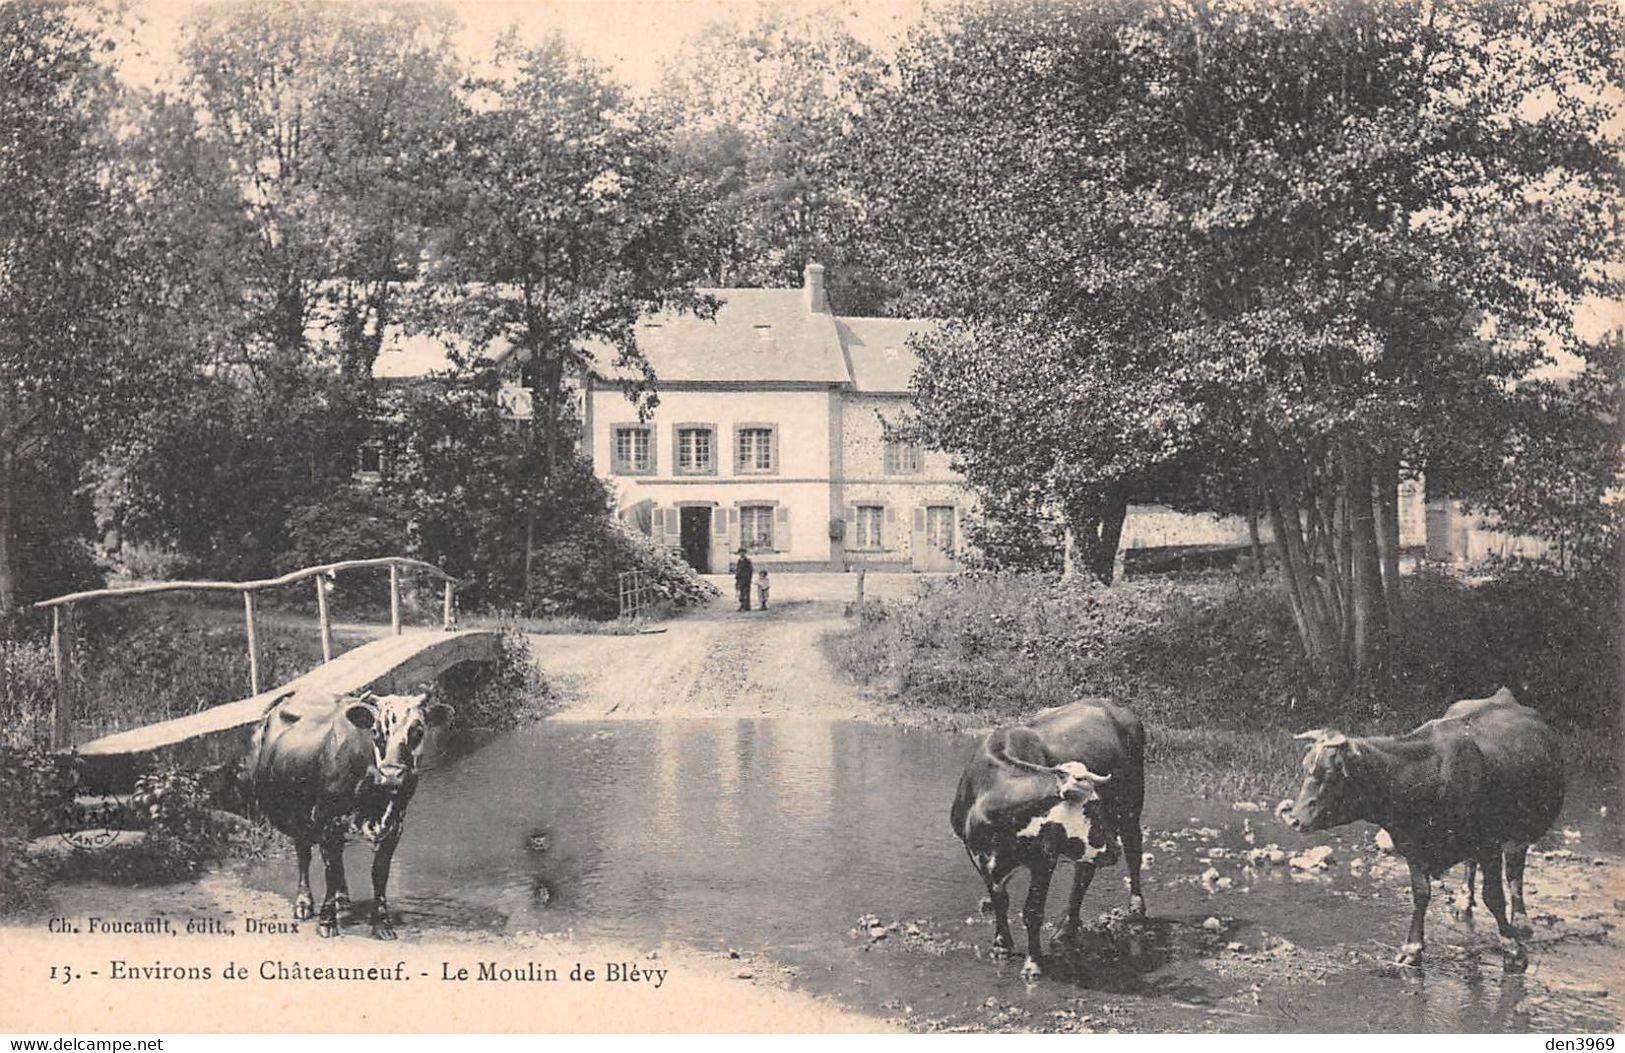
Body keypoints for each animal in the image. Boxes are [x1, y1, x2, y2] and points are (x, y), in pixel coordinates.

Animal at [240, 692, 448, 936]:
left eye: (419, 730)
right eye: (375, 731)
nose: (391, 774)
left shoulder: (394, 826)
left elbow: (379, 874)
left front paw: (382, 924)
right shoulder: (327, 820)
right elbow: (329, 872)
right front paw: (326, 922)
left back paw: (341, 898)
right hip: (298, 818)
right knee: (304, 856)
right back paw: (304, 903)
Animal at [949, 698, 1144, 981]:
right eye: (1093, 807)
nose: (1112, 849)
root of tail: (1112, 706)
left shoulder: (1044, 858)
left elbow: (1032, 911)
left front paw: (1033, 962)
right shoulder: (978, 855)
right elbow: (1000, 900)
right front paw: (1001, 945)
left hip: (1131, 808)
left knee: (1134, 852)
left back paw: (1136, 908)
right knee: (1084, 873)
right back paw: (1066, 928)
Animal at [1280, 685, 1560, 968]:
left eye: (1329, 773)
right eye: (1305, 767)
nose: (1294, 818)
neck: (1428, 777)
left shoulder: (1488, 844)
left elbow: (1494, 896)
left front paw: (1512, 948)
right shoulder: (1412, 846)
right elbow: (1421, 895)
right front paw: (1412, 947)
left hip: (1521, 831)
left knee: (1515, 870)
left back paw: (1521, 920)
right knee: (1472, 865)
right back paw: (1464, 900)